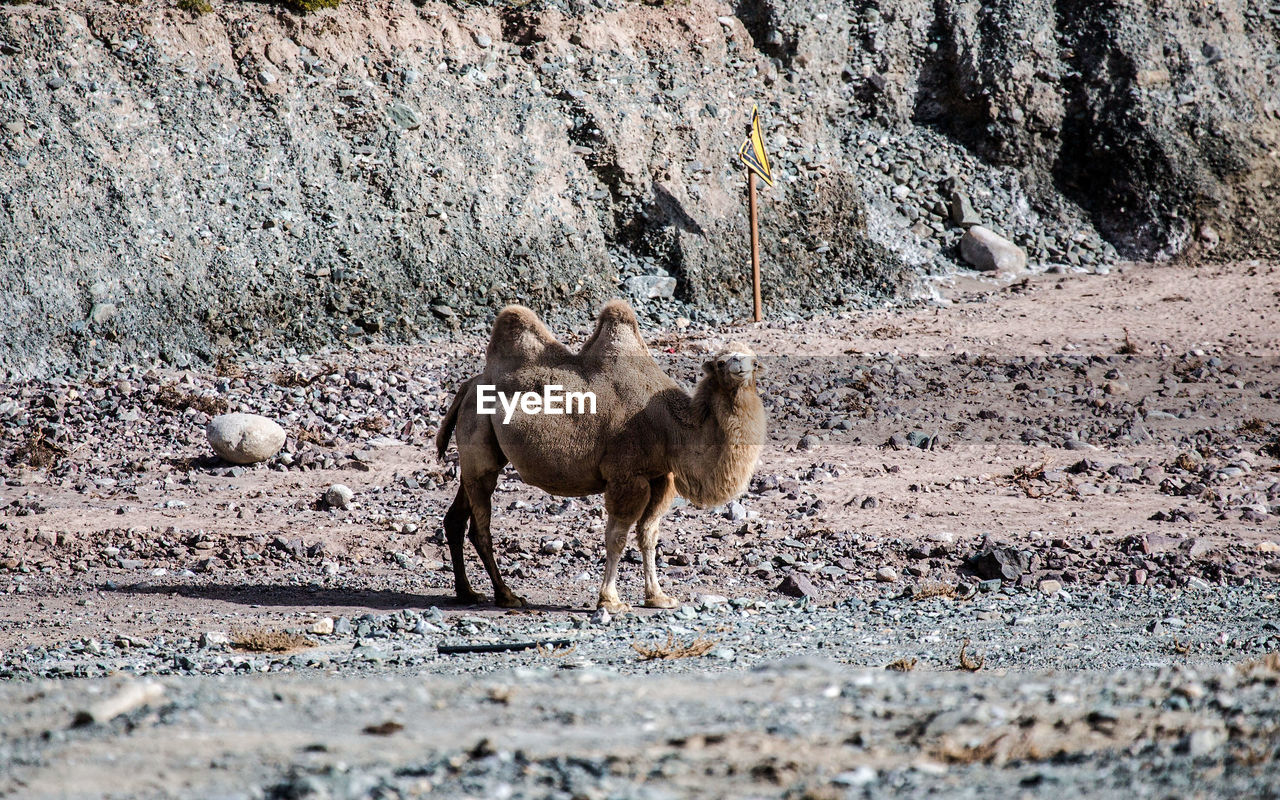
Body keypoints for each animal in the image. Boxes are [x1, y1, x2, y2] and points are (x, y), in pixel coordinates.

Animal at [435, 299, 762, 611]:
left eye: (753, 359)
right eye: (721, 361)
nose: (741, 366)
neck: (671, 426)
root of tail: (468, 386)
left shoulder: (660, 477)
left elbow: (649, 535)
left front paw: (658, 597)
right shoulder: (626, 476)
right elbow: (616, 537)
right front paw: (610, 601)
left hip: (476, 456)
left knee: (456, 516)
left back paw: (467, 592)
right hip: (479, 438)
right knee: (480, 527)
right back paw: (506, 595)